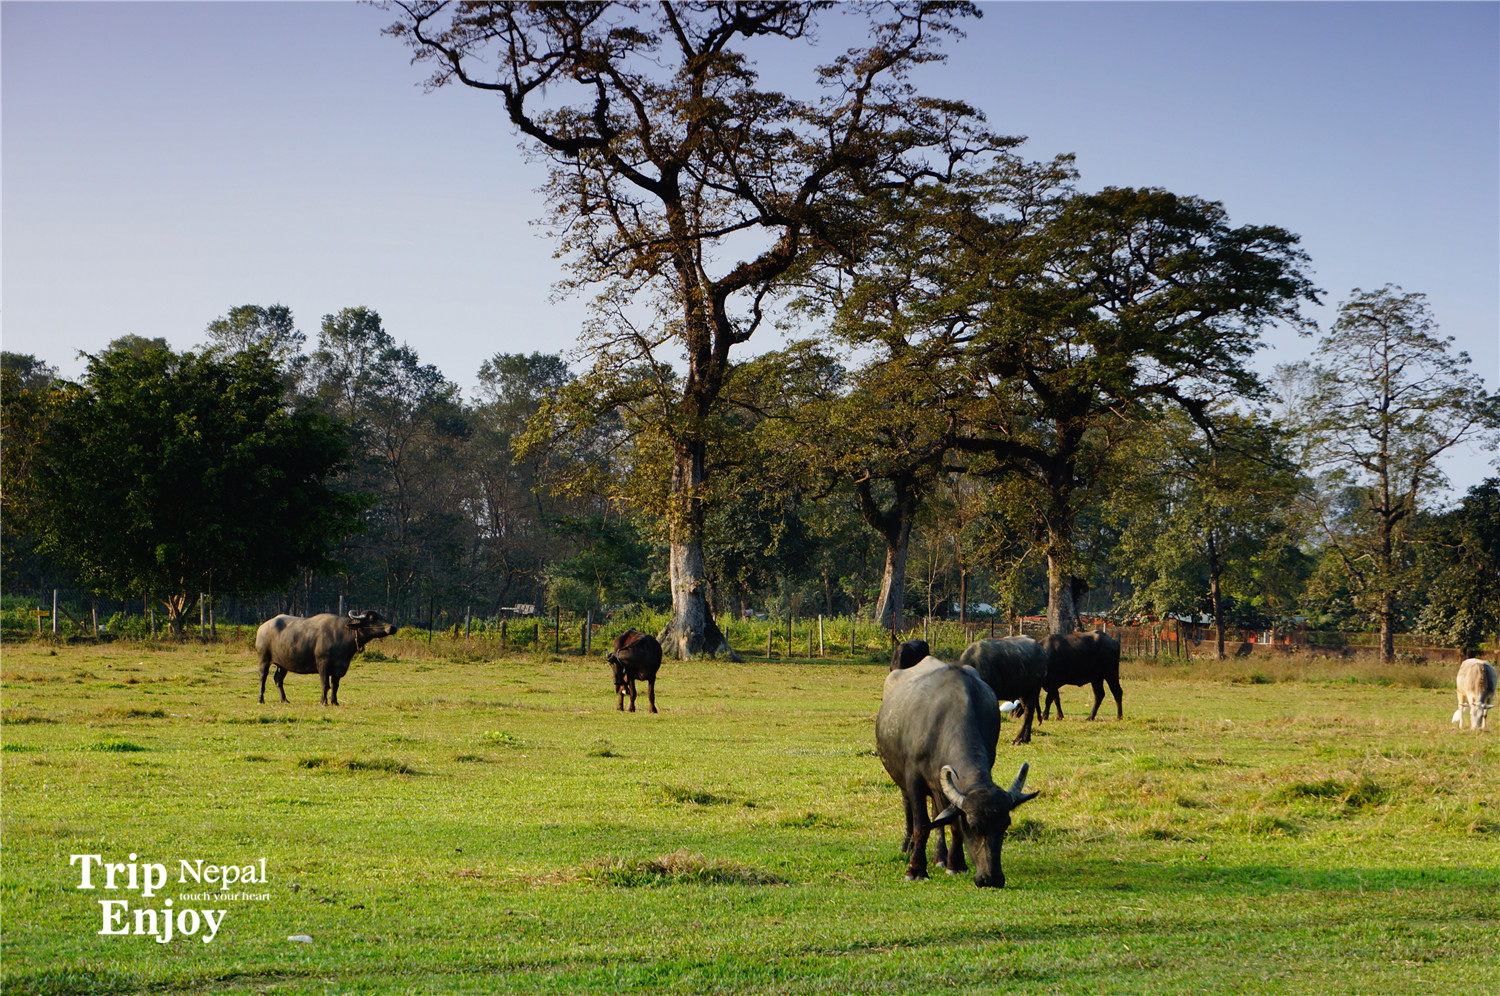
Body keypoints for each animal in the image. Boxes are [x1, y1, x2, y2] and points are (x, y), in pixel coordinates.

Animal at [256, 612, 399, 705]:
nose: (392, 627)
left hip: (283, 664)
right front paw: (323, 702)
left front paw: (334, 702)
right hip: (264, 659)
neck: (343, 634)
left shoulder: (341, 667)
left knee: (278, 679)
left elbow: (335, 685)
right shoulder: (323, 664)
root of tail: (262, 628)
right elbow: (325, 684)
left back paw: (284, 700)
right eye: (373, 619)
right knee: (263, 678)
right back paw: (260, 699)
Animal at [876, 657, 1038, 882]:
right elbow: (922, 825)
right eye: (975, 825)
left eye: (1005, 825)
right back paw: (907, 847)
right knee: (909, 809)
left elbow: (952, 824)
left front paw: (956, 864)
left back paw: (940, 857)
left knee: (938, 814)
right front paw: (915, 869)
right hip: (901, 779)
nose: (991, 878)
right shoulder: (914, 779)